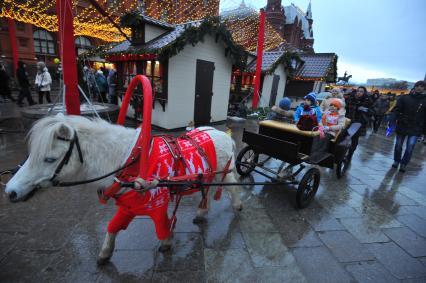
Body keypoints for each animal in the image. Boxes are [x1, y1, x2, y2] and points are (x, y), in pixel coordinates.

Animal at [5, 115, 241, 264]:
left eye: (50, 159)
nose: (10, 191)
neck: (130, 162)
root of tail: (223, 134)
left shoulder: (156, 203)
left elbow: (162, 227)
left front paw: (166, 244)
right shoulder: (128, 205)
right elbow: (113, 226)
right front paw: (104, 254)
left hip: (222, 173)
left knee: (232, 188)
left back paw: (237, 207)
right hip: (206, 177)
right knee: (206, 192)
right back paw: (201, 212)